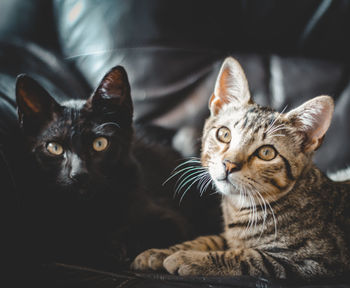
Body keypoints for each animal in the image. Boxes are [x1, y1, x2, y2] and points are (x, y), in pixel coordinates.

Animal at [131, 57, 350, 280]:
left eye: (266, 153)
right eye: (224, 134)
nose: (229, 164)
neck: (239, 207)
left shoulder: (313, 261)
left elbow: (247, 256)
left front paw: (187, 258)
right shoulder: (226, 236)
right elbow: (212, 239)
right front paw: (162, 252)